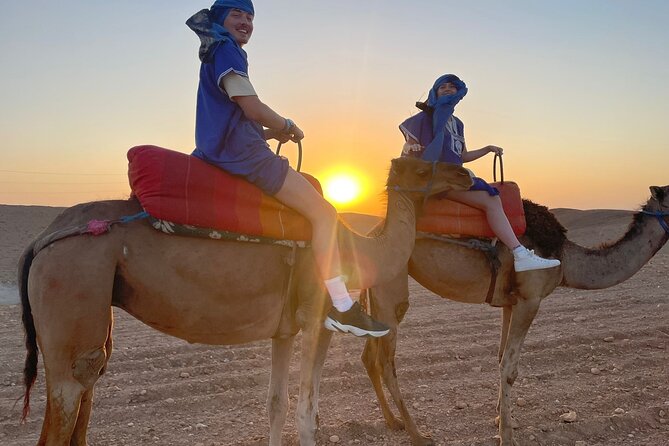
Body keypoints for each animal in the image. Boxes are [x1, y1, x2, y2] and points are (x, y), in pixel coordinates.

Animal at [18, 156, 472, 446]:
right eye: (423, 165)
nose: (465, 174)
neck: (359, 249)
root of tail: (42, 241)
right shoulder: (317, 318)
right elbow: (307, 414)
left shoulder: (285, 329)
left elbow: (277, 405)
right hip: (72, 283)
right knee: (69, 395)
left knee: (89, 386)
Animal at [361, 185, 669, 446]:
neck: (564, 259)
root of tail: (370, 233)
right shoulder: (530, 300)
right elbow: (509, 368)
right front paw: (507, 436)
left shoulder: (510, 303)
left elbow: (501, 358)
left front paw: (500, 417)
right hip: (391, 286)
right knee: (385, 362)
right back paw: (417, 434)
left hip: (376, 288)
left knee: (369, 356)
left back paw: (393, 422)